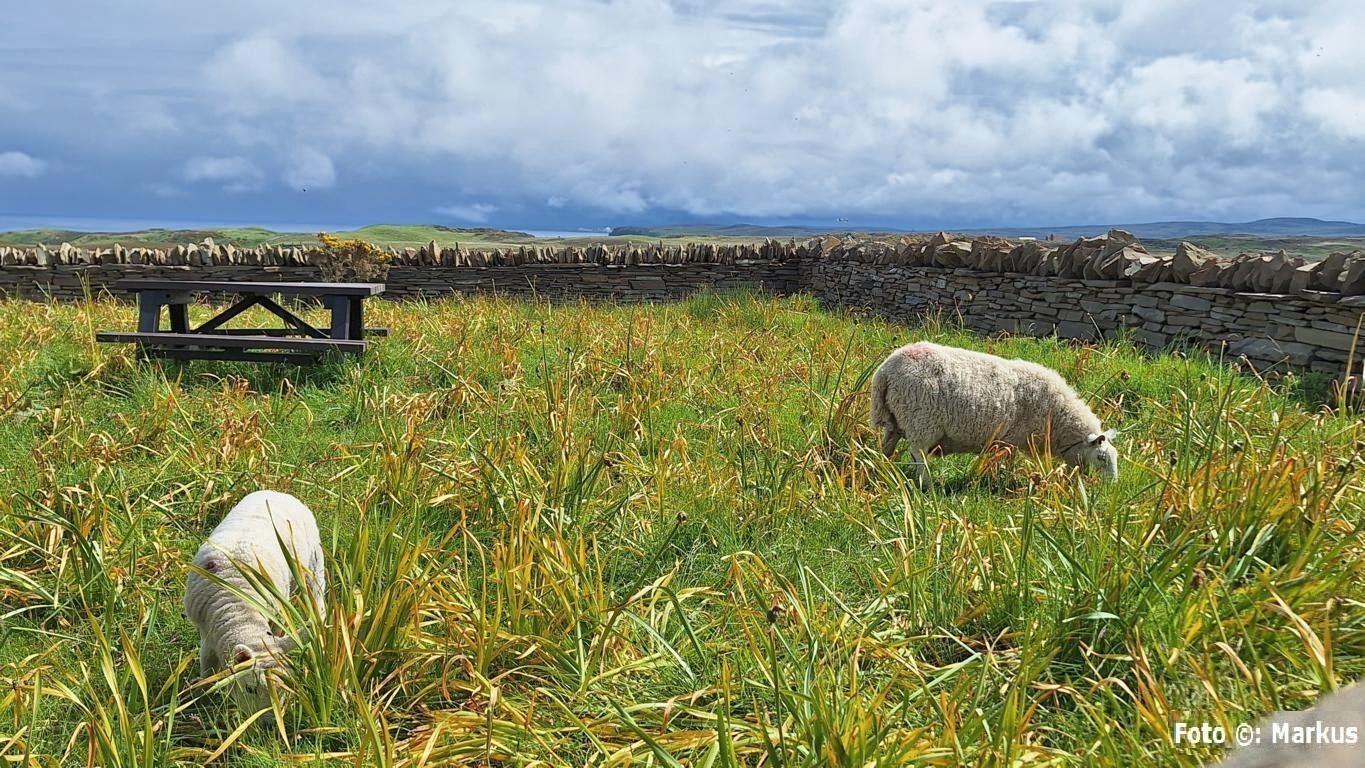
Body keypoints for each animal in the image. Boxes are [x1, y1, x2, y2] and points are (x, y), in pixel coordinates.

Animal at [185, 493, 326, 709]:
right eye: (250, 689)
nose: (270, 720)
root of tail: (280, 493)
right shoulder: (206, 632)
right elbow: (207, 667)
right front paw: (200, 695)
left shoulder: (275, 615)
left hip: (311, 564)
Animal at [873, 343, 1119, 485]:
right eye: (1101, 458)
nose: (1112, 486)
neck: (1058, 417)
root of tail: (886, 370)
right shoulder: (1013, 438)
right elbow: (1007, 461)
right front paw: (1002, 479)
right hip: (921, 422)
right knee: (919, 456)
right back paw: (927, 485)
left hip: (896, 420)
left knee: (887, 447)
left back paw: (881, 469)